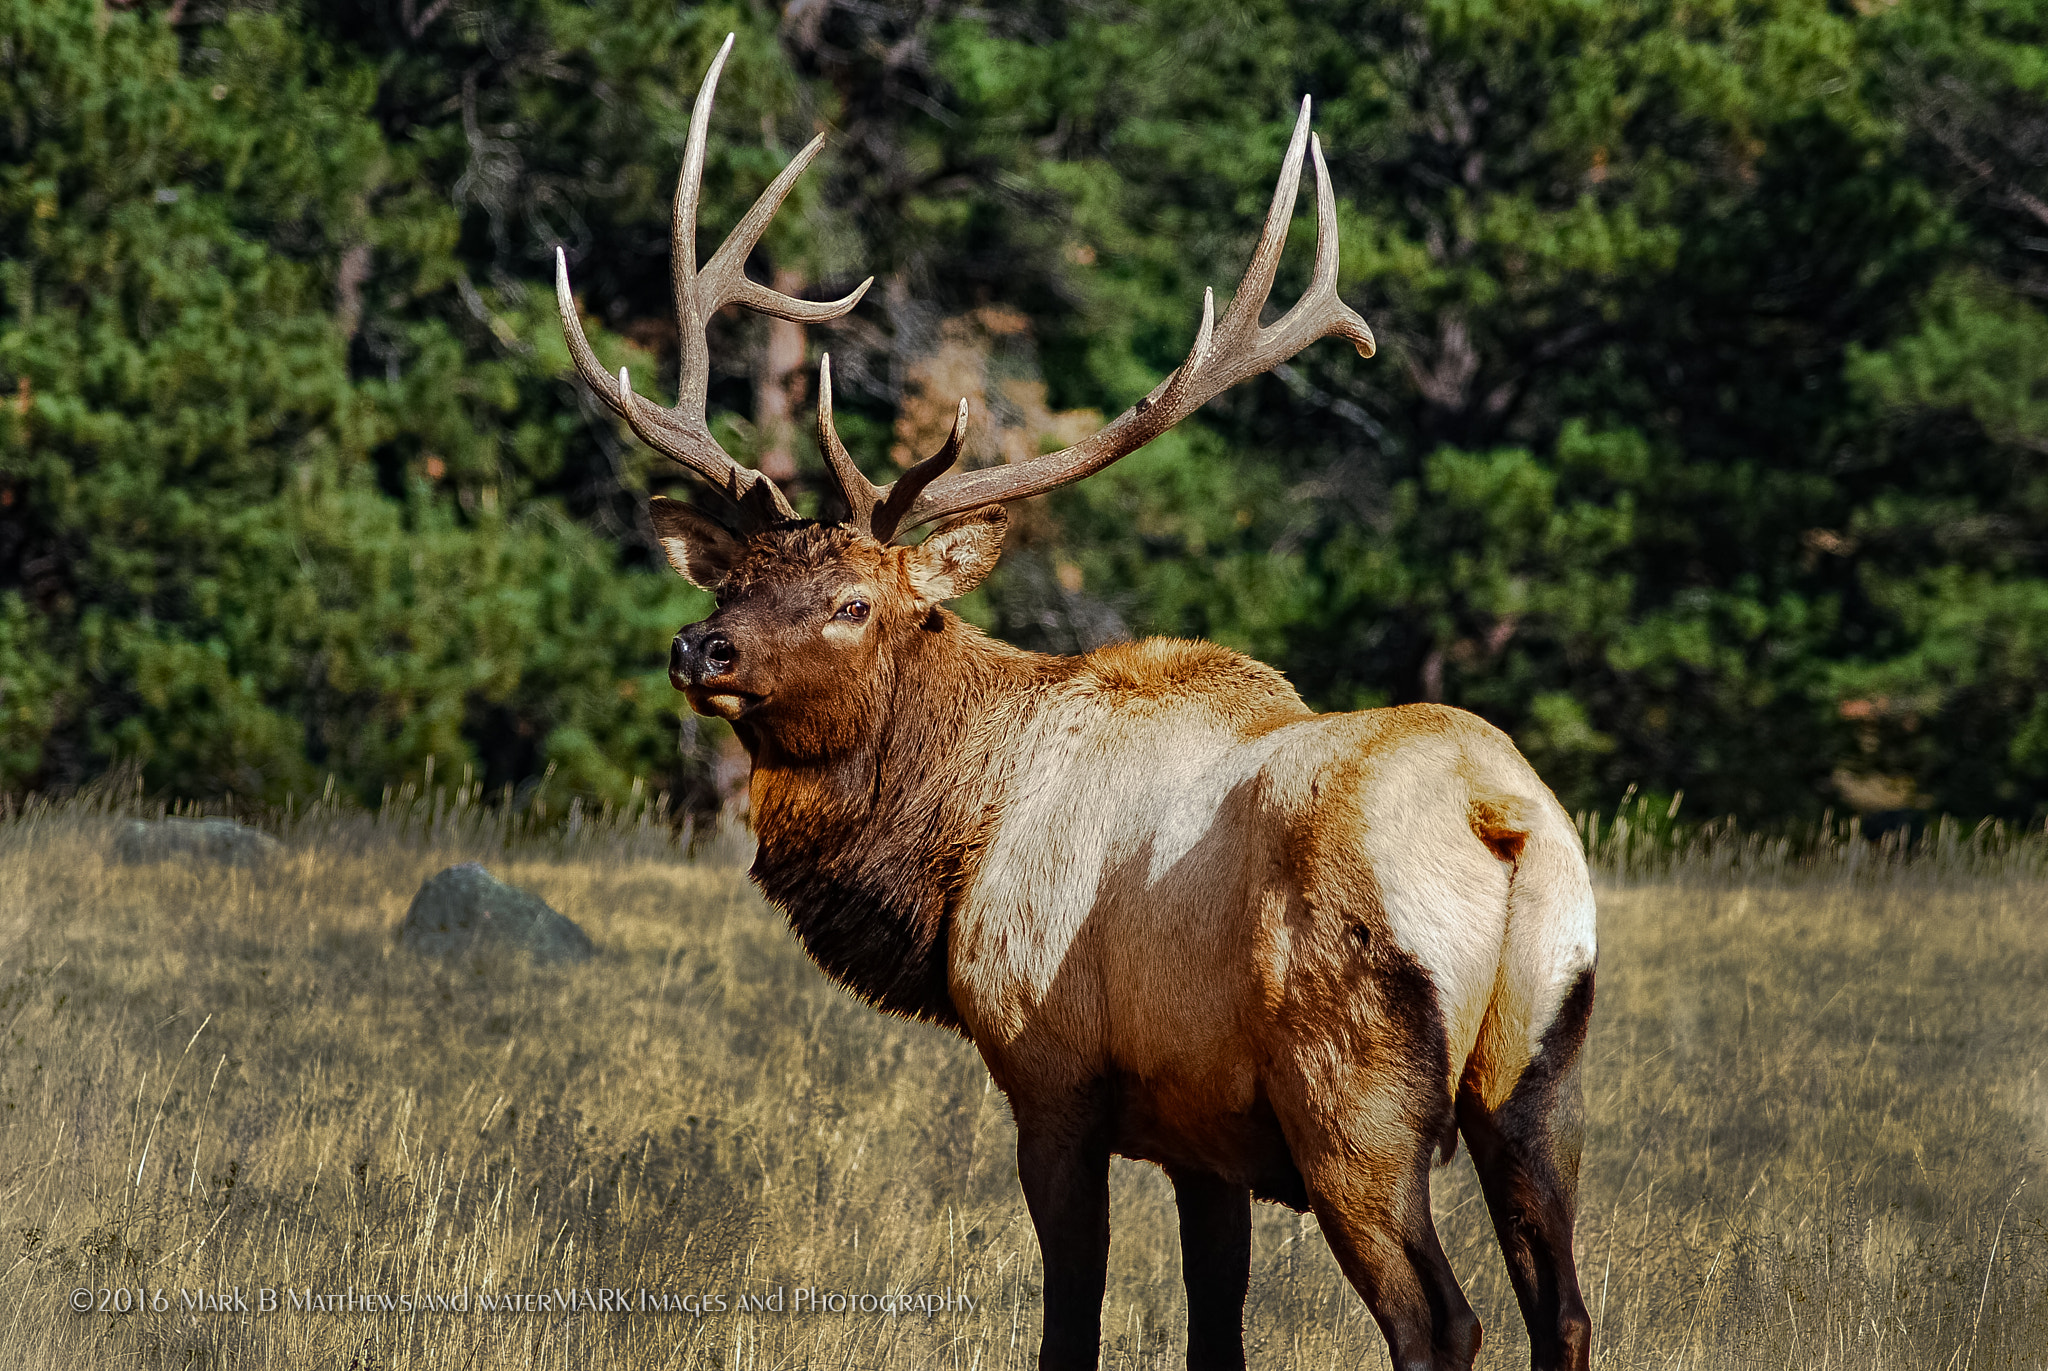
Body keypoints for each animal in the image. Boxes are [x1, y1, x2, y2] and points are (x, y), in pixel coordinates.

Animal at [553, 35, 1597, 1371]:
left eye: (852, 601)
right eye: (732, 577)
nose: (700, 647)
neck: (952, 860)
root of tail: (1495, 819)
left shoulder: (1049, 1071)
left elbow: (1072, 1312)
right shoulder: (1204, 1130)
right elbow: (1213, 1323)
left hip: (1352, 1091)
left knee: (1440, 1319)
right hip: (1537, 1068)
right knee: (1560, 1304)